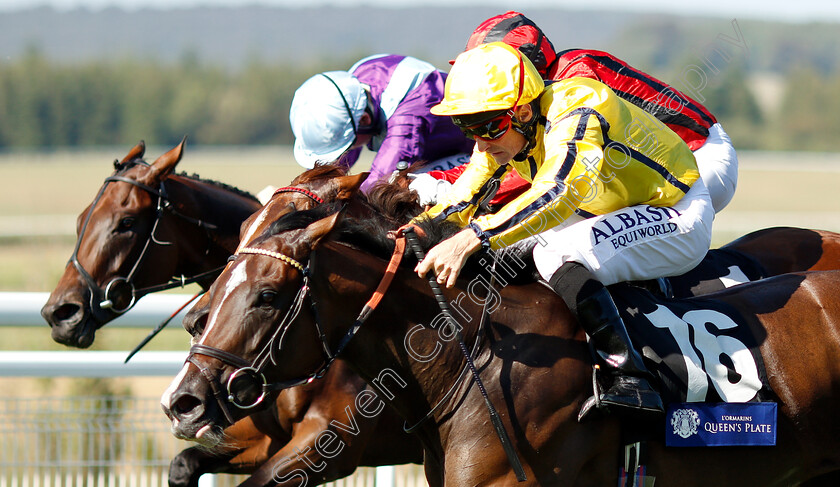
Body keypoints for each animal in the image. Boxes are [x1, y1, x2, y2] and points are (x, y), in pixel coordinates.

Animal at [37, 147, 426, 486]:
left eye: (126, 222)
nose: (60, 312)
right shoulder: (260, 436)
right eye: (80, 221)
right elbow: (184, 463)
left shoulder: (329, 442)